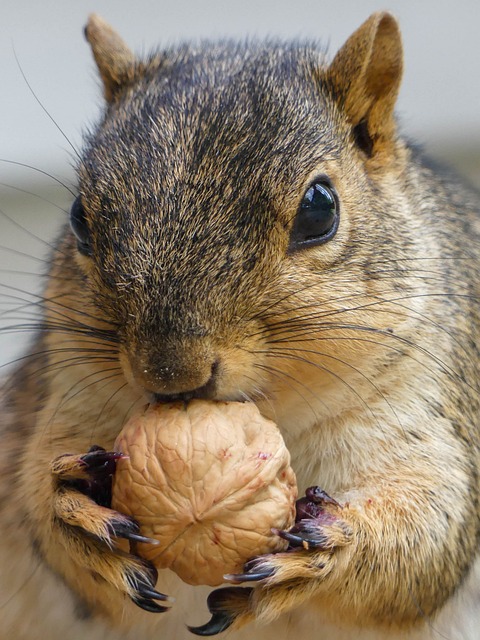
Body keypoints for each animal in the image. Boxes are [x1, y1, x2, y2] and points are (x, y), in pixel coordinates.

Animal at [0, 10, 480, 640]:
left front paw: (328, 548)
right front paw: (73, 508)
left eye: (320, 209)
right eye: (79, 217)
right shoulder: (69, 394)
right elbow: (43, 519)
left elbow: (428, 542)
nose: (171, 375)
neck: (275, 413)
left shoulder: (427, 402)